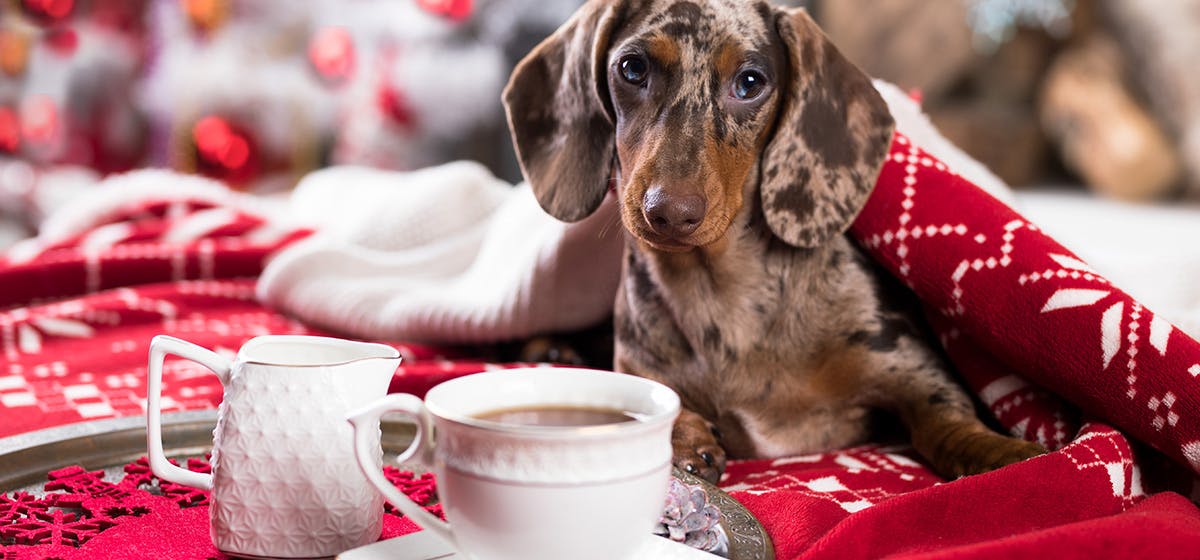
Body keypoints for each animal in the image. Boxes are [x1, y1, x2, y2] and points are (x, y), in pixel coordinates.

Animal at [501, 0, 1046, 482]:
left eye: (750, 82)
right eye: (632, 68)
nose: (669, 213)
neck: (723, 295)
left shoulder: (915, 370)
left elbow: (946, 422)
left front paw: (1008, 454)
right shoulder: (639, 365)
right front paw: (685, 437)